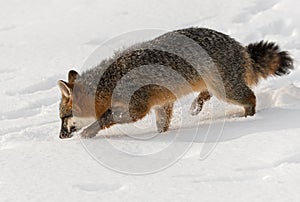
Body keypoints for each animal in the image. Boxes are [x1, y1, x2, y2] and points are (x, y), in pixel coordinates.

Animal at [56, 27, 292, 139]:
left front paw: (90, 132)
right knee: (209, 94)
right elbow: (162, 126)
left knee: (251, 97)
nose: (60, 136)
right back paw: (197, 105)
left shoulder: (137, 108)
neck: (111, 80)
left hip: (227, 91)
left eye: (63, 118)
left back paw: (249, 119)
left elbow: (105, 118)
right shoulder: (162, 104)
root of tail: (240, 46)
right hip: (218, 88)